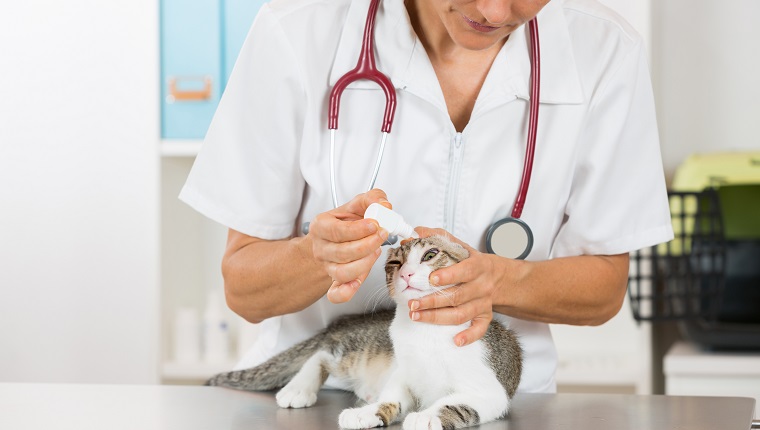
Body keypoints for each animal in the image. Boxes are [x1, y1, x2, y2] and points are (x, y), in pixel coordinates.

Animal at [205, 237, 524, 428]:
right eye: (395, 263)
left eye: (431, 255)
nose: (406, 274)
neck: (424, 331)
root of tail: (343, 323)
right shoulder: (403, 374)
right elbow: (391, 397)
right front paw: (366, 413)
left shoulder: (490, 391)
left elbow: (454, 402)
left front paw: (426, 417)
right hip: (356, 351)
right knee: (322, 354)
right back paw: (300, 388)